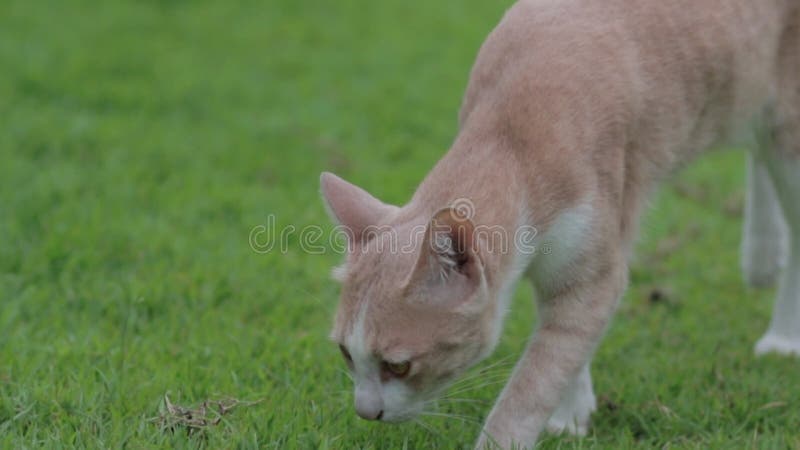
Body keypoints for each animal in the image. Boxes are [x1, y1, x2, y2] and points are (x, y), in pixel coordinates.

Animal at [318, 0, 800, 446]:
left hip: (787, 130)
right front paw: (573, 411)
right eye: (345, 353)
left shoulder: (596, 260)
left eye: (398, 365)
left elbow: (539, 375)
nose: (366, 412)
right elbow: (568, 341)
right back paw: (762, 254)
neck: (508, 136)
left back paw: (781, 334)